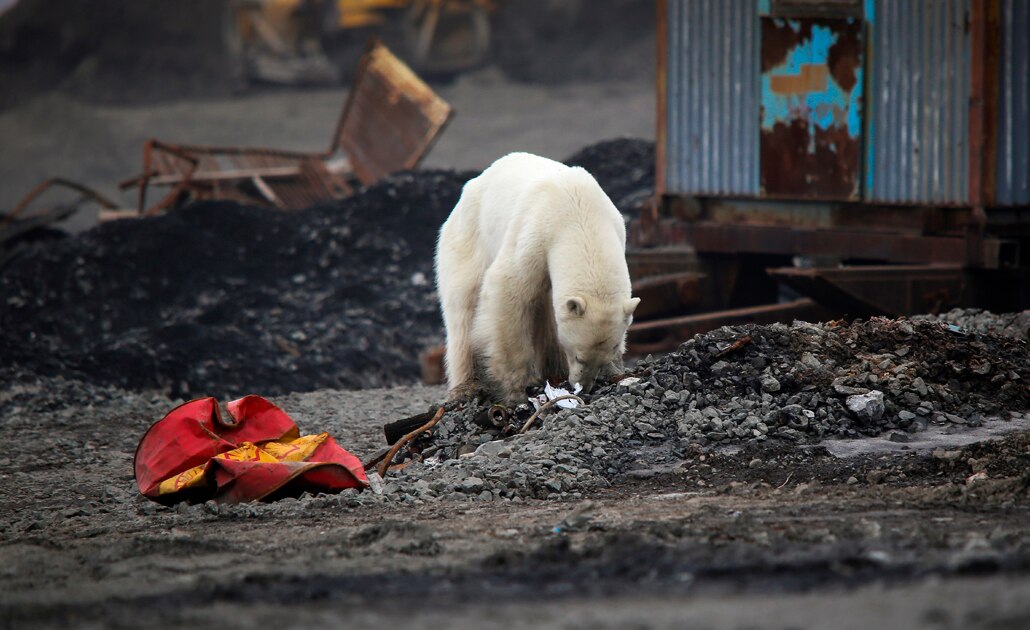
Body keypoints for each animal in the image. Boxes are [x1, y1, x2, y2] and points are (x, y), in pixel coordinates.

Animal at [435, 152, 640, 403]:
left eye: (601, 358)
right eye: (579, 357)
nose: (584, 386)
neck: (580, 212)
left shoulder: (616, 228)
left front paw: (614, 370)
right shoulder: (536, 232)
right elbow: (507, 290)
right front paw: (517, 388)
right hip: (468, 238)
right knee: (463, 306)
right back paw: (466, 386)